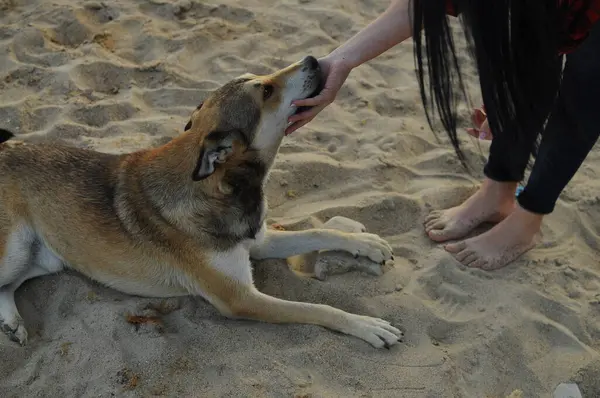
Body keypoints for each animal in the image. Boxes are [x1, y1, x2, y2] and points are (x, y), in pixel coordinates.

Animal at [0, 56, 404, 348]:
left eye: (261, 78)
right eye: (267, 90)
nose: (313, 58)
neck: (223, 188)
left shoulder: (258, 241)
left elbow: (319, 232)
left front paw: (366, 243)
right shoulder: (241, 298)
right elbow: (320, 308)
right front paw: (367, 325)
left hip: (45, 257)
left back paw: (13, 323)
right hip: (14, 249)